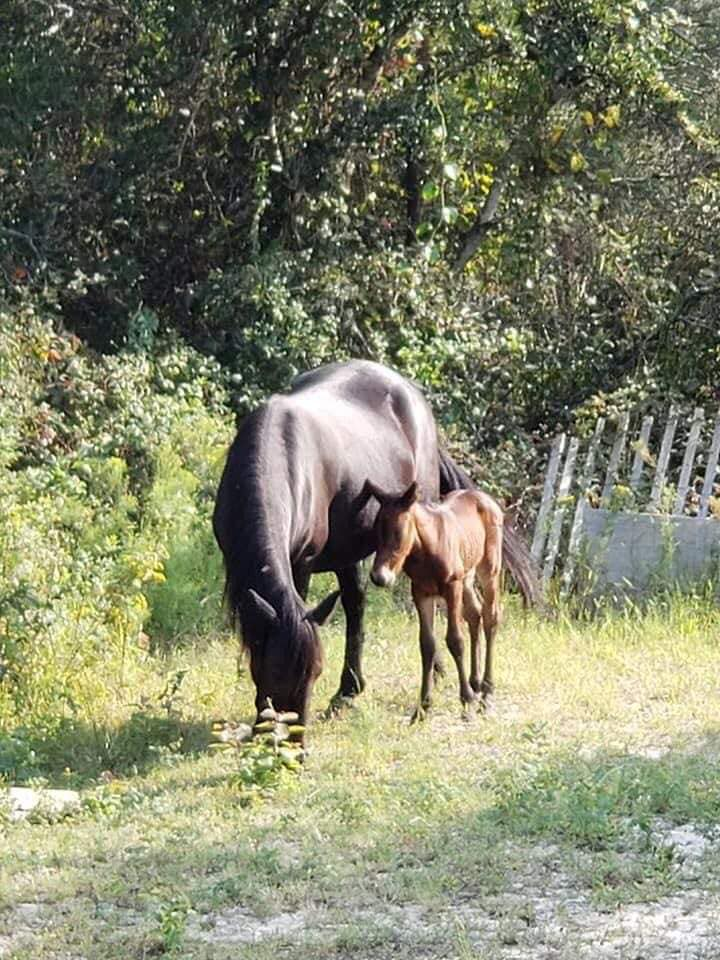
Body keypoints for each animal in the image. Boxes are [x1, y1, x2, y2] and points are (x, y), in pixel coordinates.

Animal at [365, 480, 504, 720]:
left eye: (398, 532)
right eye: (376, 530)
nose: (379, 577)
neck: (426, 548)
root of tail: (487, 499)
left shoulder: (452, 587)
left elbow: (455, 640)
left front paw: (466, 702)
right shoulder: (421, 593)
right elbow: (427, 644)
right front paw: (422, 708)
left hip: (489, 570)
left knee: (490, 617)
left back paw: (486, 693)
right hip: (467, 576)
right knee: (474, 613)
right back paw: (475, 683)